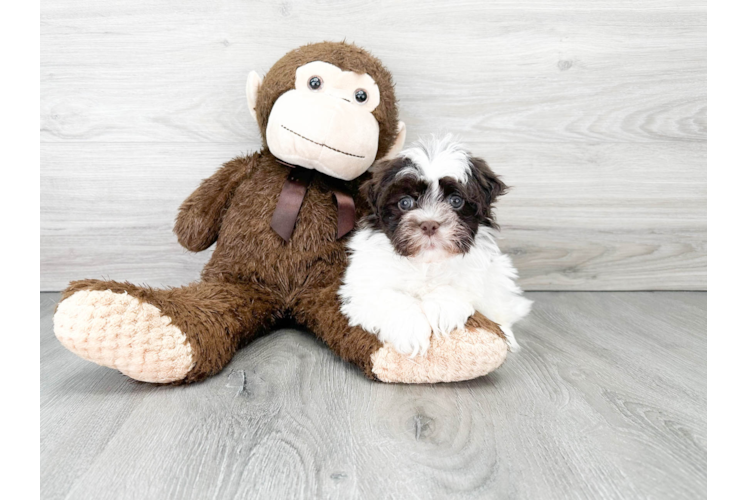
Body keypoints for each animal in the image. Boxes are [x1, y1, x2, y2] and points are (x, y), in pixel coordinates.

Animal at [338, 135, 532, 358]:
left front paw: (442, 310)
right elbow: (390, 298)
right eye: (405, 203)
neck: (427, 261)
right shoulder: (363, 285)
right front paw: (410, 330)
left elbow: (458, 284)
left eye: (455, 201)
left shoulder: (478, 271)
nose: (429, 224)